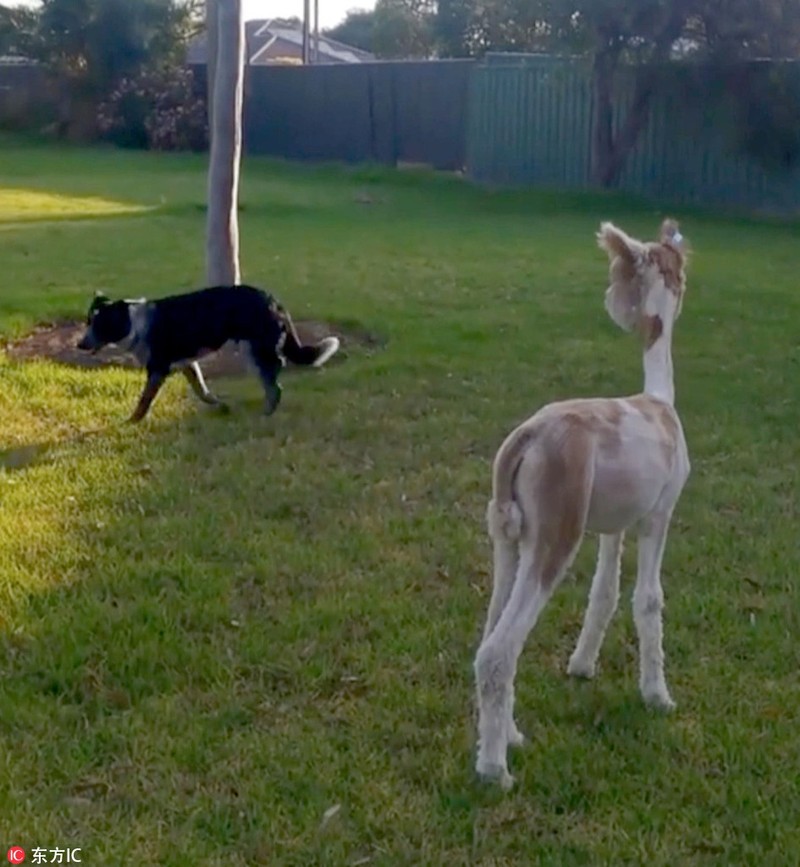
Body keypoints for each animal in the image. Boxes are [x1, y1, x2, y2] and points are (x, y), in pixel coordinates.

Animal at [80, 284, 340, 422]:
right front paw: (219, 405)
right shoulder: (187, 364)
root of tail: (273, 300)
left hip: (256, 350)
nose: (80, 345)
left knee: (275, 387)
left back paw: (265, 414)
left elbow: (144, 400)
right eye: (88, 322)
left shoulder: (158, 369)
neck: (134, 323)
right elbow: (202, 390)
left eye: (99, 325)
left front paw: (133, 420)